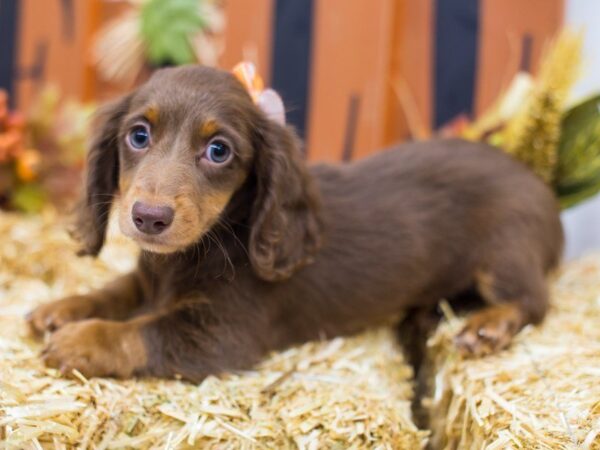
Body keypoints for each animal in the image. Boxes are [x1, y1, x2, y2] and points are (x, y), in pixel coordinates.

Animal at [28, 64, 564, 380]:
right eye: (138, 135)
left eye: (218, 151)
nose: (148, 217)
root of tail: (538, 182)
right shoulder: (148, 279)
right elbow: (118, 292)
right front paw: (65, 308)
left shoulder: (220, 334)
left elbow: (141, 332)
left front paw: (79, 340)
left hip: (505, 254)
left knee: (534, 301)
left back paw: (487, 327)